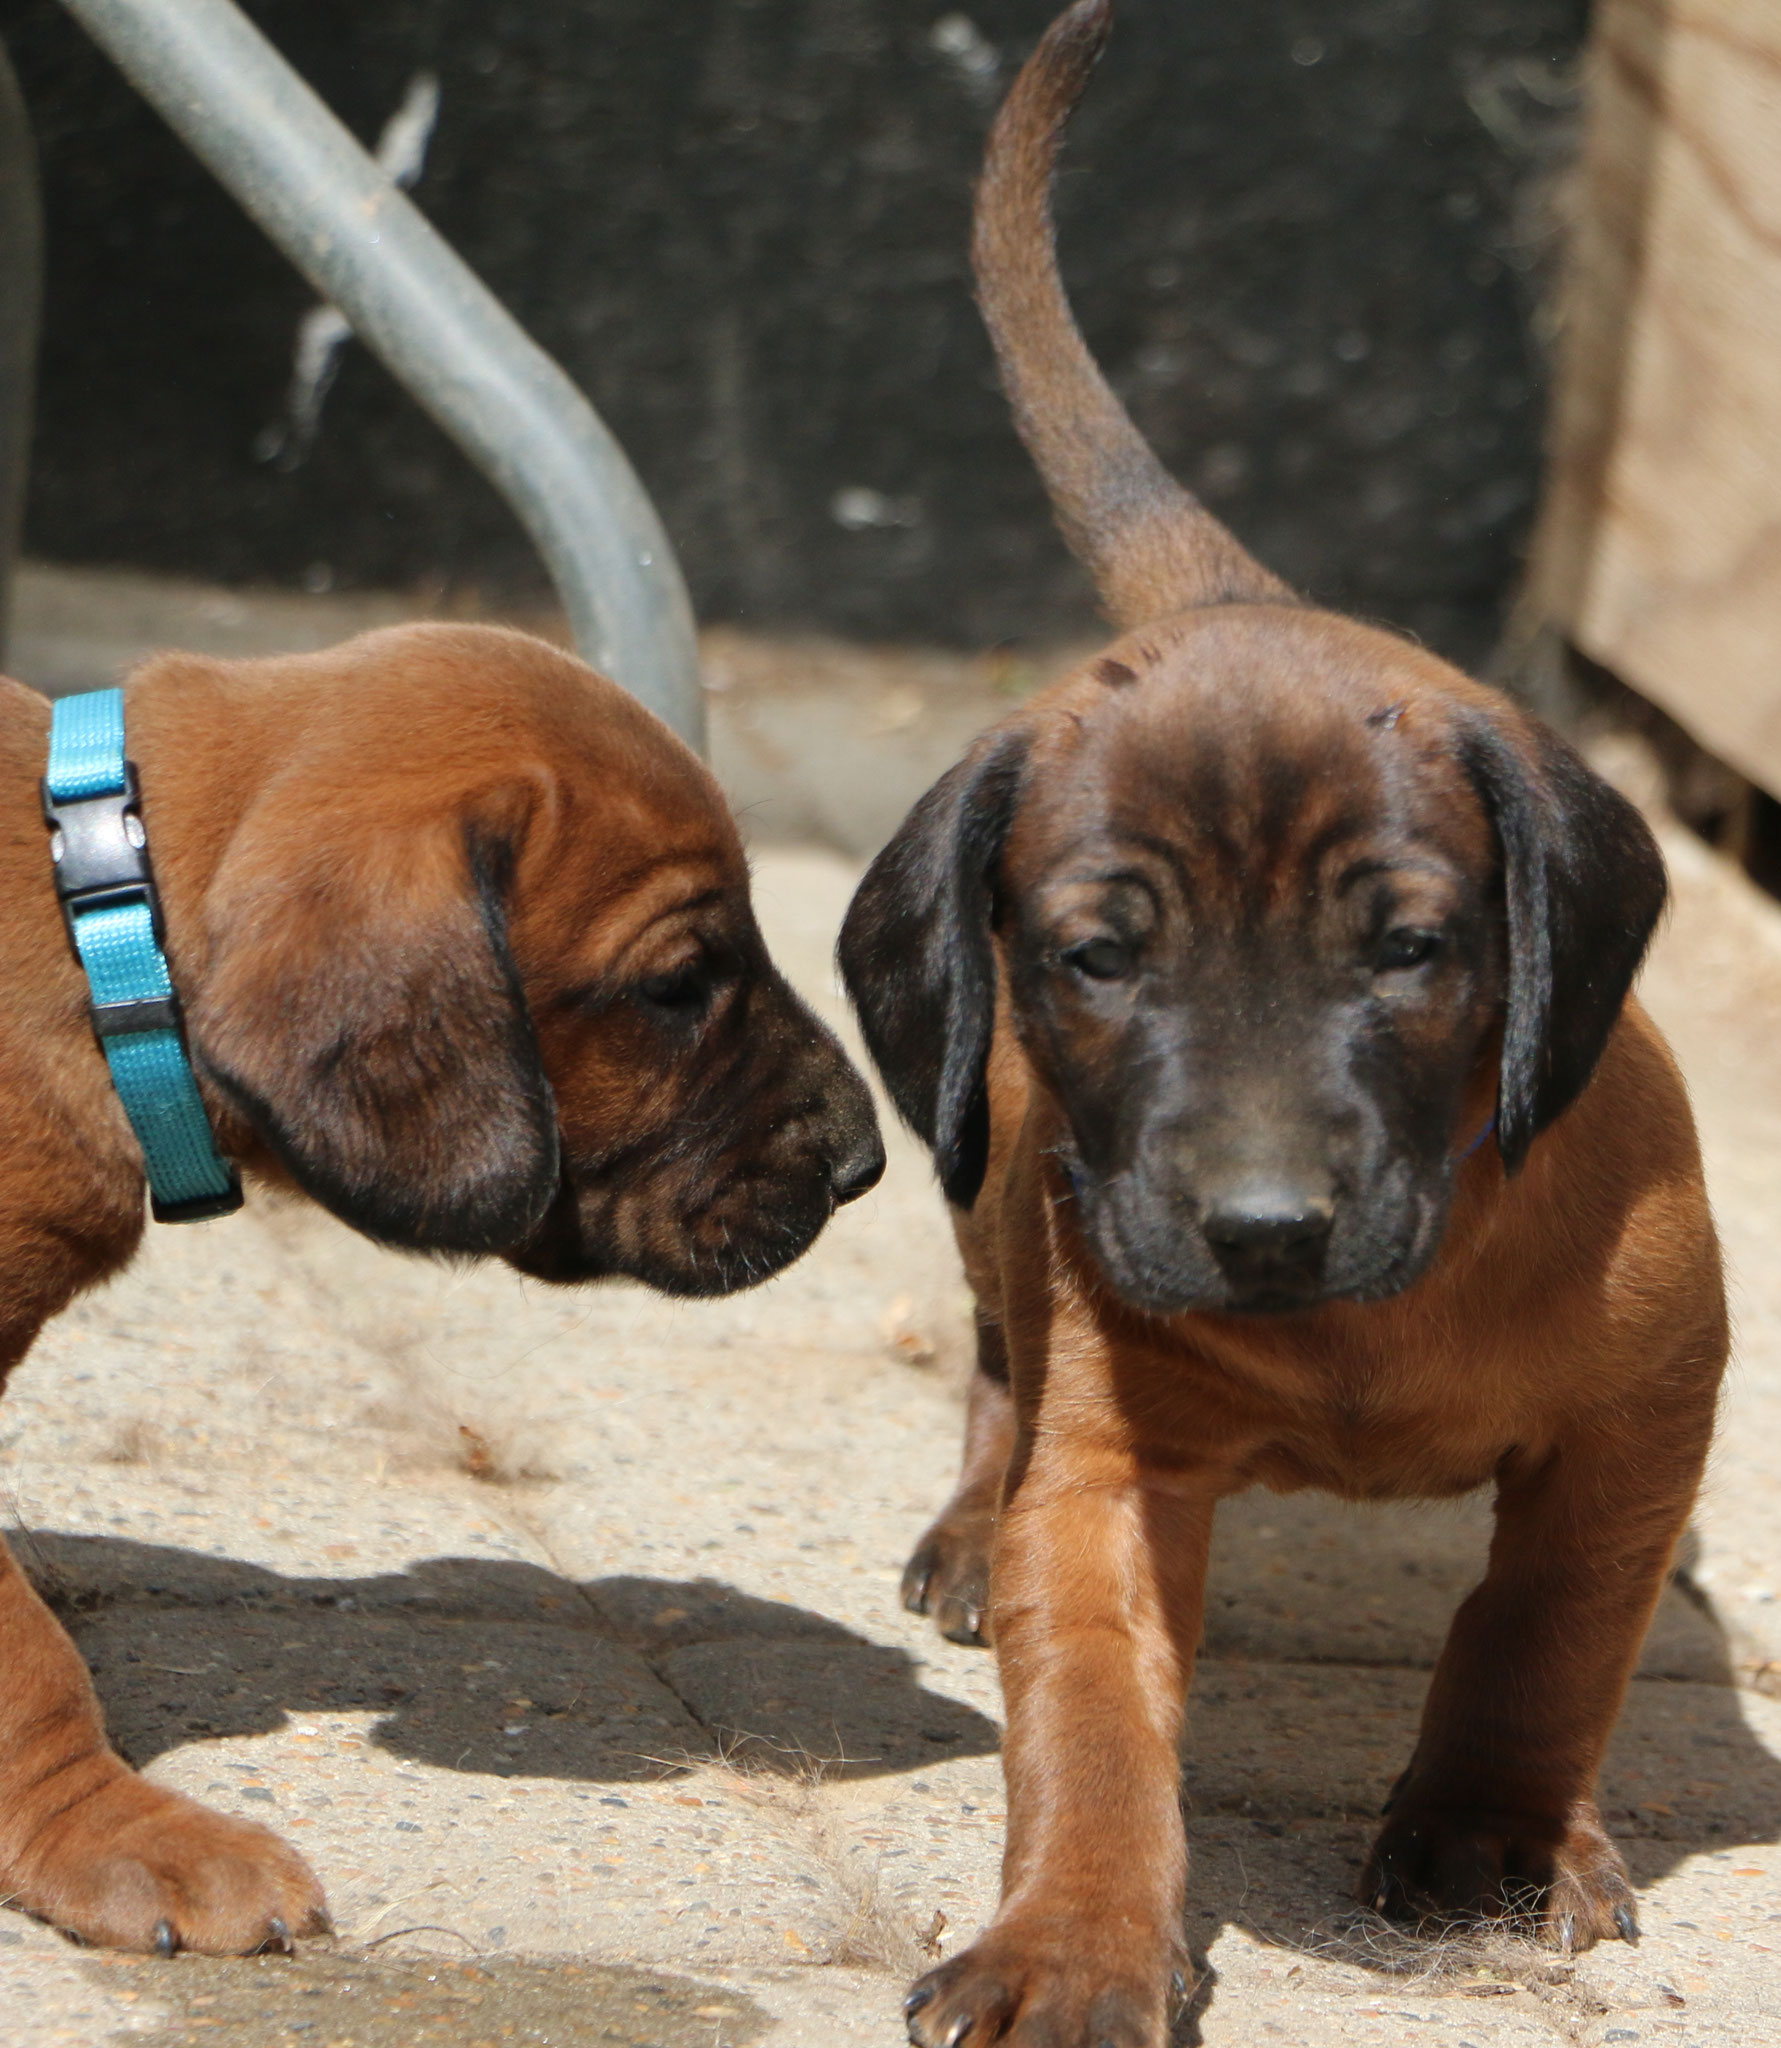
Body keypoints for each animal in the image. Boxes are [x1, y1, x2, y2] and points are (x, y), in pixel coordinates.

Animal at [843, 8, 1735, 2039]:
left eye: (1407, 948)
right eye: (1097, 960)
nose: (1259, 1233)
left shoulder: (1643, 1410)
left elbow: (1546, 1625)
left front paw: (1493, 1834)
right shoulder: (1112, 1471)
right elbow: (1090, 1715)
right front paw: (1073, 1940)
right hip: (987, 1182)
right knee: (997, 1343)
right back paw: (966, 1518)